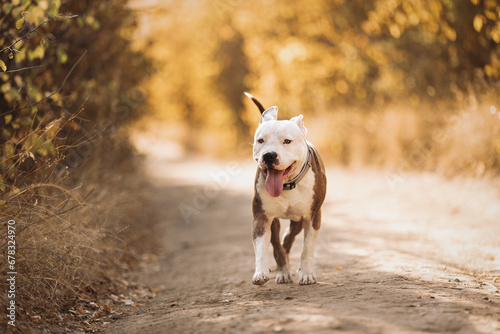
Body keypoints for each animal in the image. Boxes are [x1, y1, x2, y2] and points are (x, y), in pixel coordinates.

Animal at [244, 92, 326, 286]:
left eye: (287, 141)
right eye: (261, 140)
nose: (269, 155)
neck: (287, 185)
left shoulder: (313, 216)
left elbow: (307, 248)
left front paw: (307, 273)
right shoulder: (262, 217)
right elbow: (263, 247)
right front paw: (262, 272)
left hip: (298, 220)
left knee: (288, 238)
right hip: (276, 221)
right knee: (280, 243)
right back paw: (282, 269)